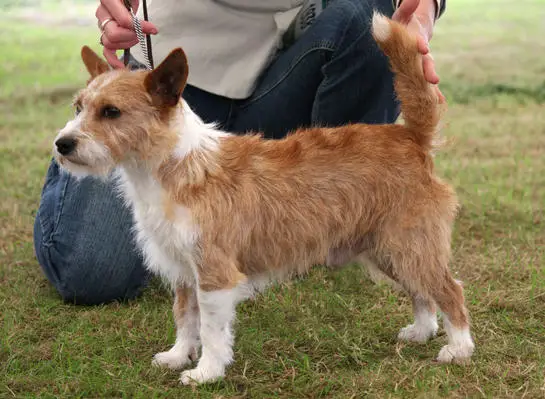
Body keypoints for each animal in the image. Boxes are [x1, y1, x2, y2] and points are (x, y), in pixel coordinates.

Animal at [53, 14, 474, 386]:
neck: (177, 165)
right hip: (389, 251)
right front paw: (178, 356)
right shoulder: (185, 272)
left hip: (409, 246)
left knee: (450, 290)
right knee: (422, 294)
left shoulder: (215, 276)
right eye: (78, 107)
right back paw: (421, 331)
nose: (62, 144)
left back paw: (459, 349)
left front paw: (206, 372)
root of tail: (410, 137)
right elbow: (184, 318)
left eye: (111, 112)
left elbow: (211, 330)